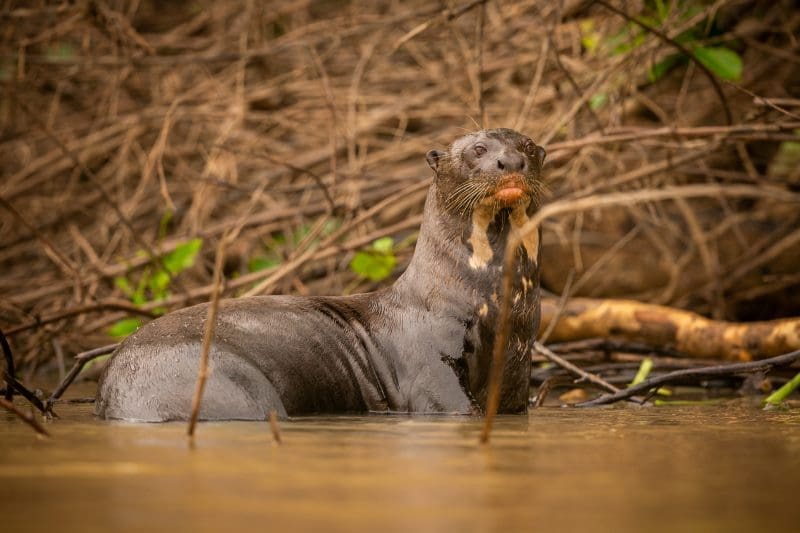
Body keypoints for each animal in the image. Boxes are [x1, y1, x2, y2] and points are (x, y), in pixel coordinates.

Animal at [95, 128, 546, 421]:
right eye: (478, 148)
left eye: (527, 146)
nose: (510, 161)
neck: (492, 306)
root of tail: (110, 387)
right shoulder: (429, 362)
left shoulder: (516, 373)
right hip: (218, 384)